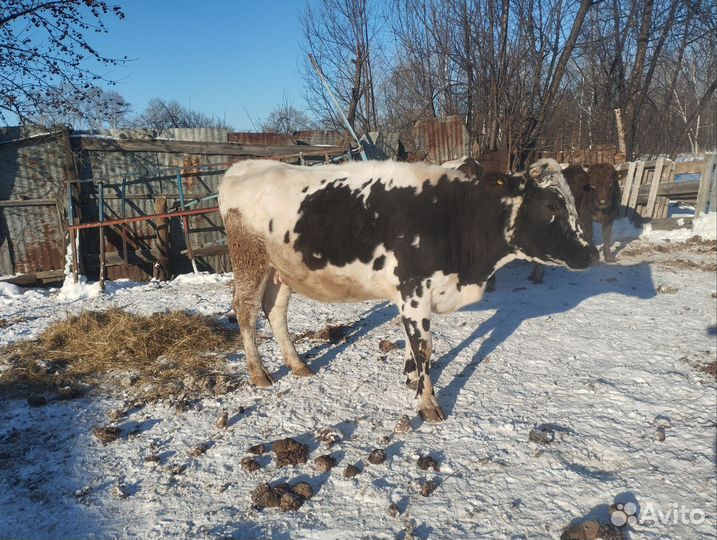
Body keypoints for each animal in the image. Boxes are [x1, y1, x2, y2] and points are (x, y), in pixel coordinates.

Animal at [218, 158, 598, 422]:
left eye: (574, 199)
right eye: (551, 206)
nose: (592, 253)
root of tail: (243, 167)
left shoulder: (411, 294)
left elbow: (411, 342)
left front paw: (410, 376)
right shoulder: (414, 289)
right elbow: (424, 346)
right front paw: (428, 402)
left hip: (282, 270)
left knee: (275, 311)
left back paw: (298, 364)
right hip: (249, 259)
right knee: (246, 310)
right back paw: (259, 373)